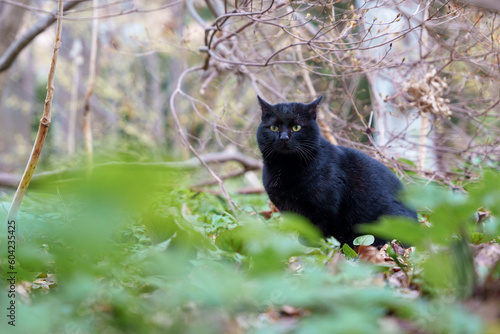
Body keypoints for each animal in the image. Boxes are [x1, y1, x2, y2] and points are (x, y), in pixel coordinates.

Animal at [256, 96, 416, 245]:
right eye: (274, 128)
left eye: (297, 127)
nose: (283, 137)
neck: (284, 167)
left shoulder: (321, 211)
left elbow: (313, 236)